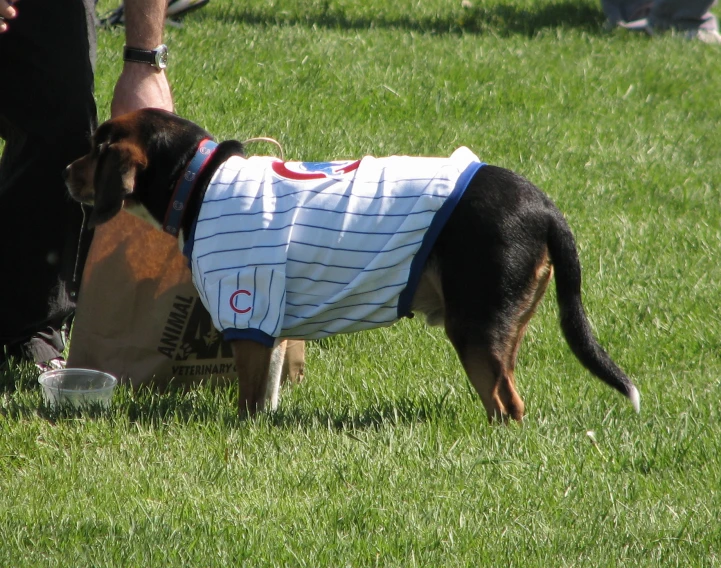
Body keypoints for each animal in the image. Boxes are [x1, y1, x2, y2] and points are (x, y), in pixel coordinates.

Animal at [64, 110, 640, 422]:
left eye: (96, 149)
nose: (66, 171)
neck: (198, 179)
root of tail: (543, 206)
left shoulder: (247, 311)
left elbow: (249, 399)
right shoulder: (272, 327)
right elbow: (267, 395)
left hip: (474, 330)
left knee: (507, 405)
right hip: (500, 331)